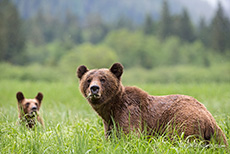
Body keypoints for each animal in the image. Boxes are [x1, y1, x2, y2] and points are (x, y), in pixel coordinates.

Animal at [76, 62, 227, 147]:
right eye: (88, 79)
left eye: (103, 79)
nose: (94, 88)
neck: (112, 108)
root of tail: (209, 118)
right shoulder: (110, 124)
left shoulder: (129, 114)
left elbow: (130, 136)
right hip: (215, 135)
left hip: (182, 121)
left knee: (180, 139)